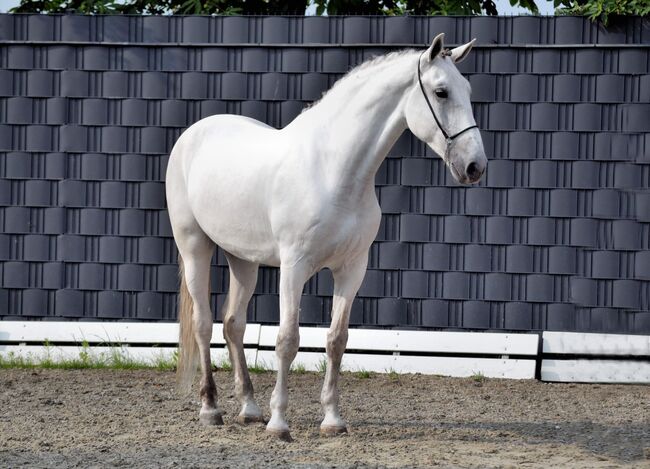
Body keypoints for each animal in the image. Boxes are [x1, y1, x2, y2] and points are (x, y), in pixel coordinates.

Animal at [167, 32, 486, 438]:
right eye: (442, 92)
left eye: (468, 90)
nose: (474, 166)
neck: (334, 171)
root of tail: (193, 134)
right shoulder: (294, 268)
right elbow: (288, 340)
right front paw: (280, 423)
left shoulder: (351, 269)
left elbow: (337, 341)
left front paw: (332, 420)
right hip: (195, 247)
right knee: (204, 324)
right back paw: (211, 408)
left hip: (243, 260)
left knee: (233, 325)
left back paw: (250, 408)